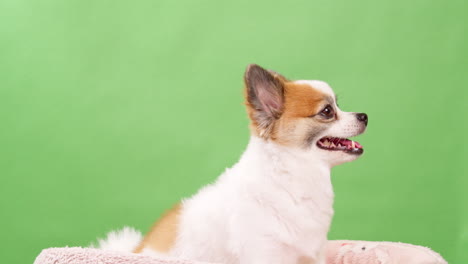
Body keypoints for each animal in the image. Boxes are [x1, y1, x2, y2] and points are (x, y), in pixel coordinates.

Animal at [99, 64, 370, 264]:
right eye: (327, 111)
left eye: (338, 105)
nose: (364, 116)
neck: (293, 177)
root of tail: (136, 249)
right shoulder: (265, 253)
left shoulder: (313, 255)